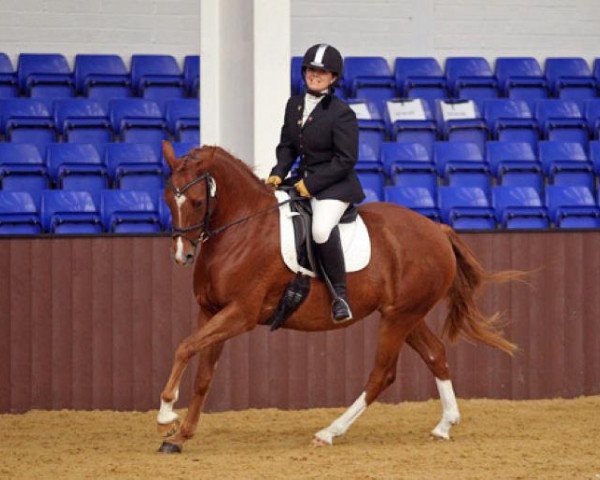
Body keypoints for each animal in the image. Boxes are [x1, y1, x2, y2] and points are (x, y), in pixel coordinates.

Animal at [157, 142, 516, 454]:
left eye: (197, 202)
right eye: (167, 198)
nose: (181, 255)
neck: (242, 231)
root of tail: (437, 229)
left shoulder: (240, 314)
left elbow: (184, 347)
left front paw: (166, 415)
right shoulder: (211, 311)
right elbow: (202, 373)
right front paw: (180, 435)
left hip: (399, 318)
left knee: (382, 374)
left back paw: (329, 432)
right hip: (405, 315)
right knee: (435, 354)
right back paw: (444, 425)